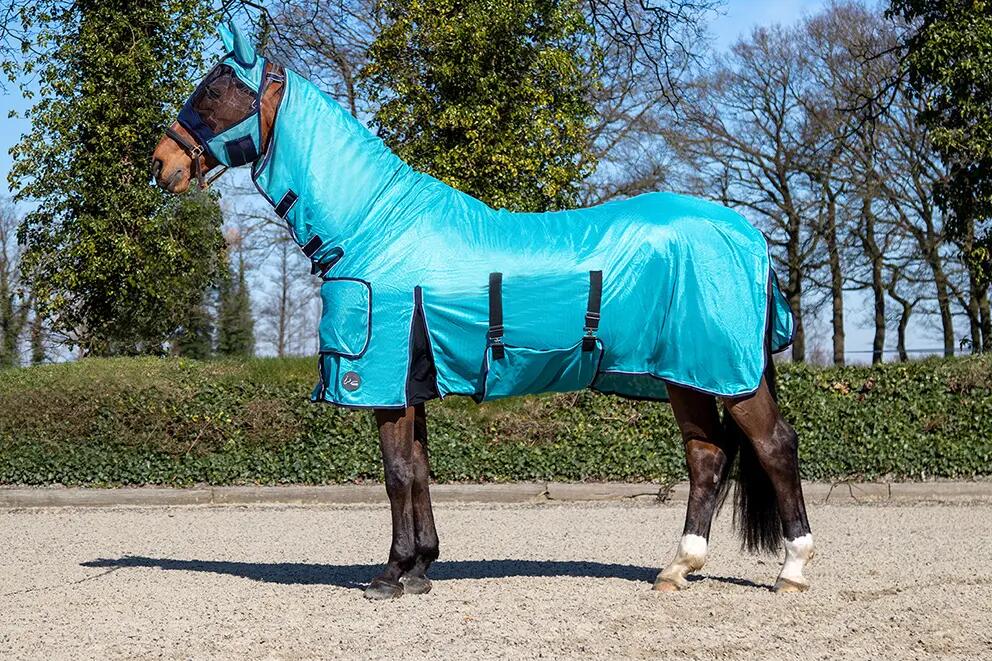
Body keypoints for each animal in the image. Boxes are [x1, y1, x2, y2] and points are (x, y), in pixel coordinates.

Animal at [152, 22, 813, 600]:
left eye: (215, 89)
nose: (162, 164)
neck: (377, 225)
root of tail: (750, 237)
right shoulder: (411, 384)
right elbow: (419, 471)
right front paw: (421, 567)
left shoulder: (383, 377)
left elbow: (396, 474)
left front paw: (391, 576)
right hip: (686, 375)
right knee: (708, 458)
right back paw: (677, 569)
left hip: (725, 371)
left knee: (774, 445)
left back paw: (793, 570)